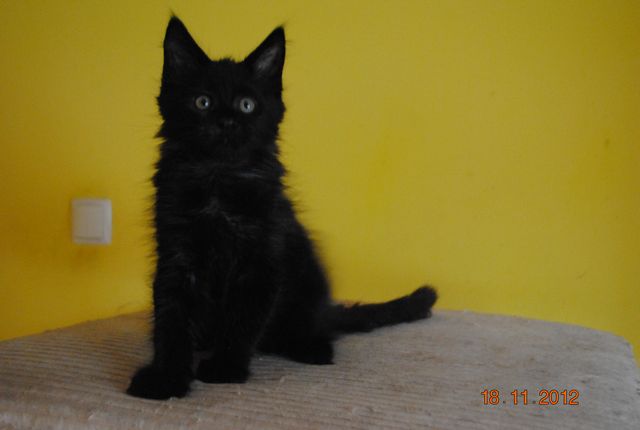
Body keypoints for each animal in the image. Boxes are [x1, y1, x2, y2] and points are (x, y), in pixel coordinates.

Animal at [127, 16, 438, 400]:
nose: (227, 122)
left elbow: (243, 320)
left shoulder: (262, 260)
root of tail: (324, 311)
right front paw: (166, 377)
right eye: (202, 102)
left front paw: (225, 368)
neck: (219, 180)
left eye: (247, 105)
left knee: (309, 329)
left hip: (307, 282)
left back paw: (312, 347)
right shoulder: (177, 255)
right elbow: (171, 320)